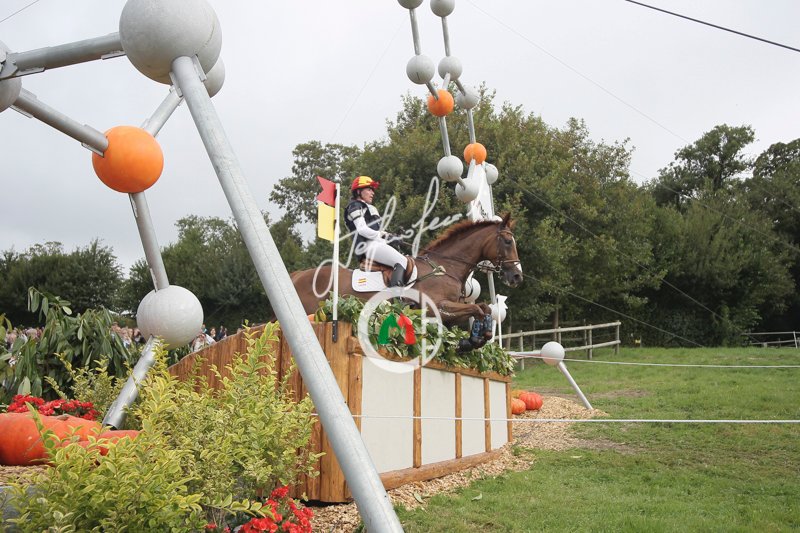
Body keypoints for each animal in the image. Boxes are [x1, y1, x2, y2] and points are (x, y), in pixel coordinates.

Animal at [290, 213, 523, 326]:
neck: (446, 267)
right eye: (508, 242)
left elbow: (482, 309)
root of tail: (297, 275)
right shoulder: (437, 307)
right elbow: (477, 308)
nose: (517, 276)